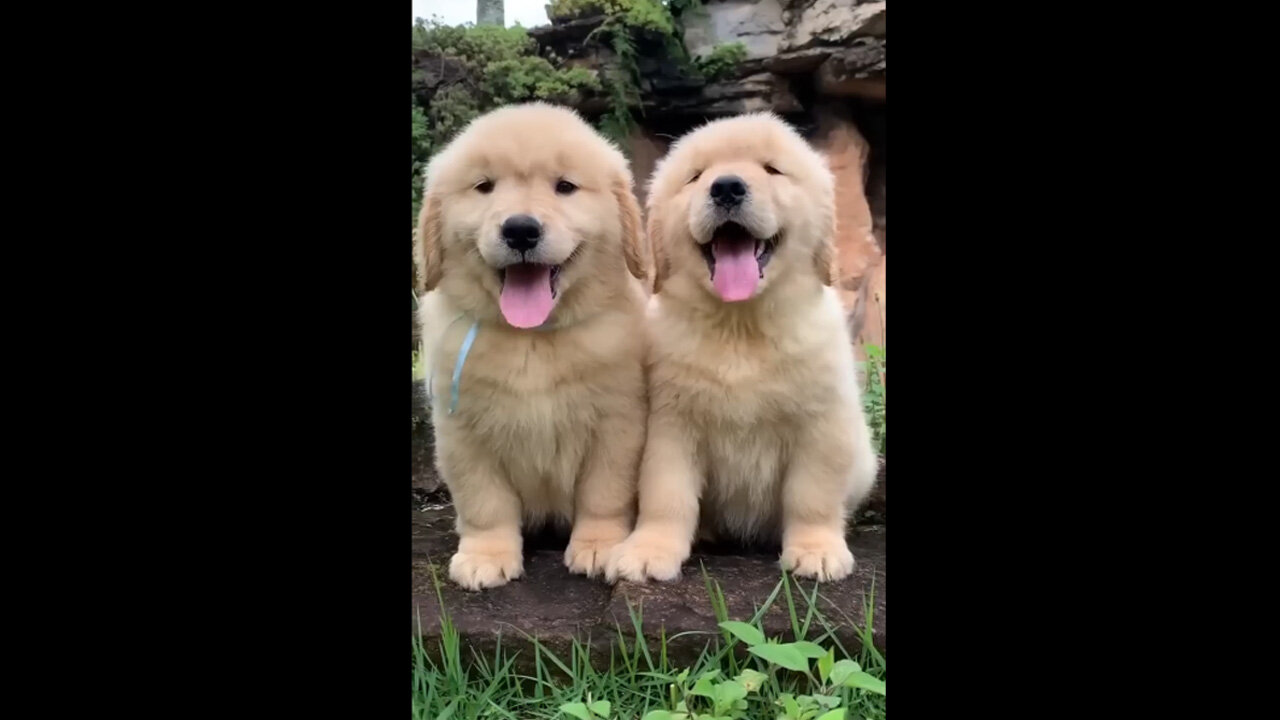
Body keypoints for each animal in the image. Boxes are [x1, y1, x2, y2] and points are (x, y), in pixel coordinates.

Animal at [412, 102, 645, 589]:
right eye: (484, 186)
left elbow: (604, 493)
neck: (532, 339)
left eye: (565, 187)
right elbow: (484, 501)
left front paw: (600, 546)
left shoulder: (616, 424)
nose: (520, 230)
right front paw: (485, 555)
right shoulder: (463, 432)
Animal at [604, 113, 875, 584]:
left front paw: (816, 550)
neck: (740, 325)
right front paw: (649, 550)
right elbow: (666, 494)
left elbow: (813, 494)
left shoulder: (822, 422)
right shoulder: (670, 424)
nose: (727, 187)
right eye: (695, 176)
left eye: (772, 169)